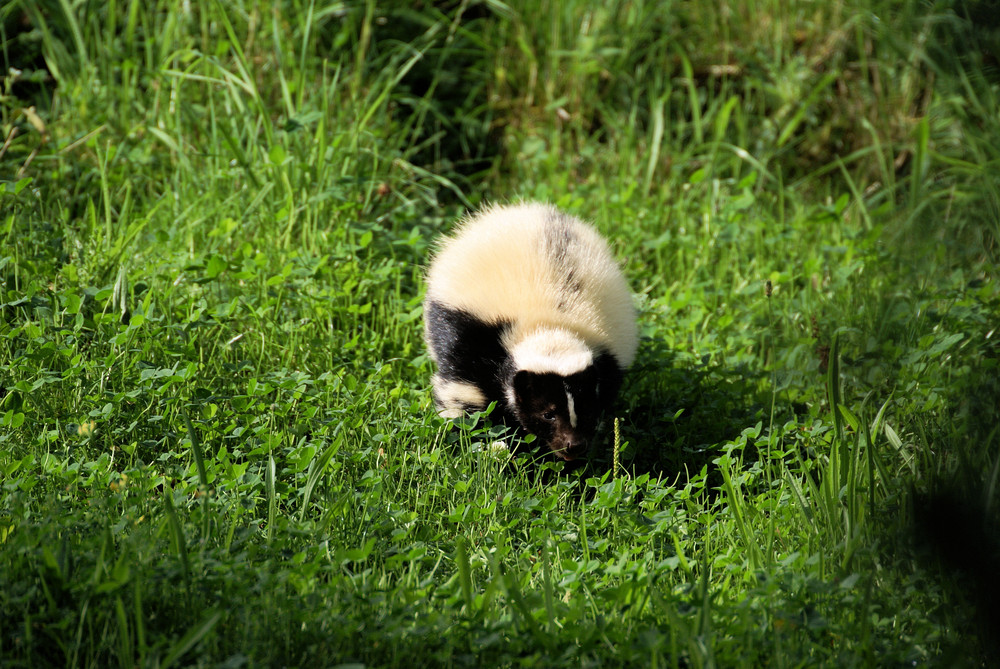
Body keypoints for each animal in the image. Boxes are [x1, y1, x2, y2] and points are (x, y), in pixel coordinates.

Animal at [424, 202, 640, 460]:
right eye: (547, 413)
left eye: (586, 407)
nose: (573, 445)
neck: (549, 326)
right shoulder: (474, 337)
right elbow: (463, 391)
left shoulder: (608, 359)